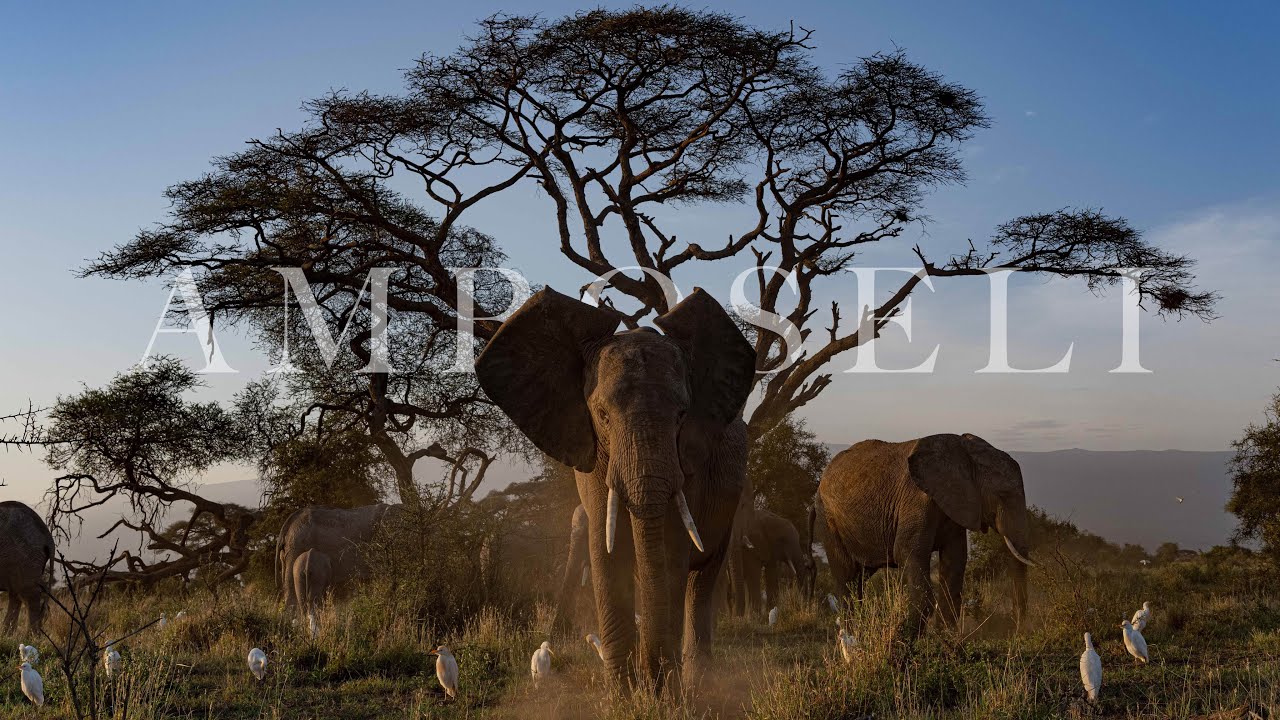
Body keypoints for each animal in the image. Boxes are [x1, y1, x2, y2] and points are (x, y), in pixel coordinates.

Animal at [476, 288, 756, 691]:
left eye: (682, 416)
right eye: (603, 416)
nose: (654, 681)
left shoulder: (689, 461)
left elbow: (670, 549)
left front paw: (664, 694)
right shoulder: (592, 456)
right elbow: (606, 548)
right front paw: (625, 695)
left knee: (702, 581)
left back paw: (698, 681)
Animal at [817, 433, 1037, 636]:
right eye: (1003, 496)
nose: (1016, 630)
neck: (964, 453)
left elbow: (955, 559)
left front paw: (946, 638)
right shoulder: (917, 500)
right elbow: (906, 552)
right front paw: (910, 639)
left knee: (860, 578)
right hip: (829, 519)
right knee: (847, 576)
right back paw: (852, 635)